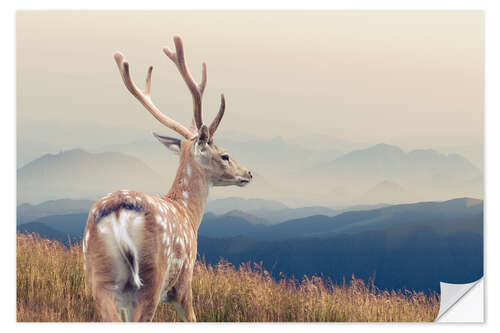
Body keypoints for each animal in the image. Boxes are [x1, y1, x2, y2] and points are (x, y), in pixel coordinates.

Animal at [84, 36, 254, 322]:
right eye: (225, 155)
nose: (248, 174)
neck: (188, 214)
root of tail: (118, 216)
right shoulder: (184, 282)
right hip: (151, 278)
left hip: (99, 277)